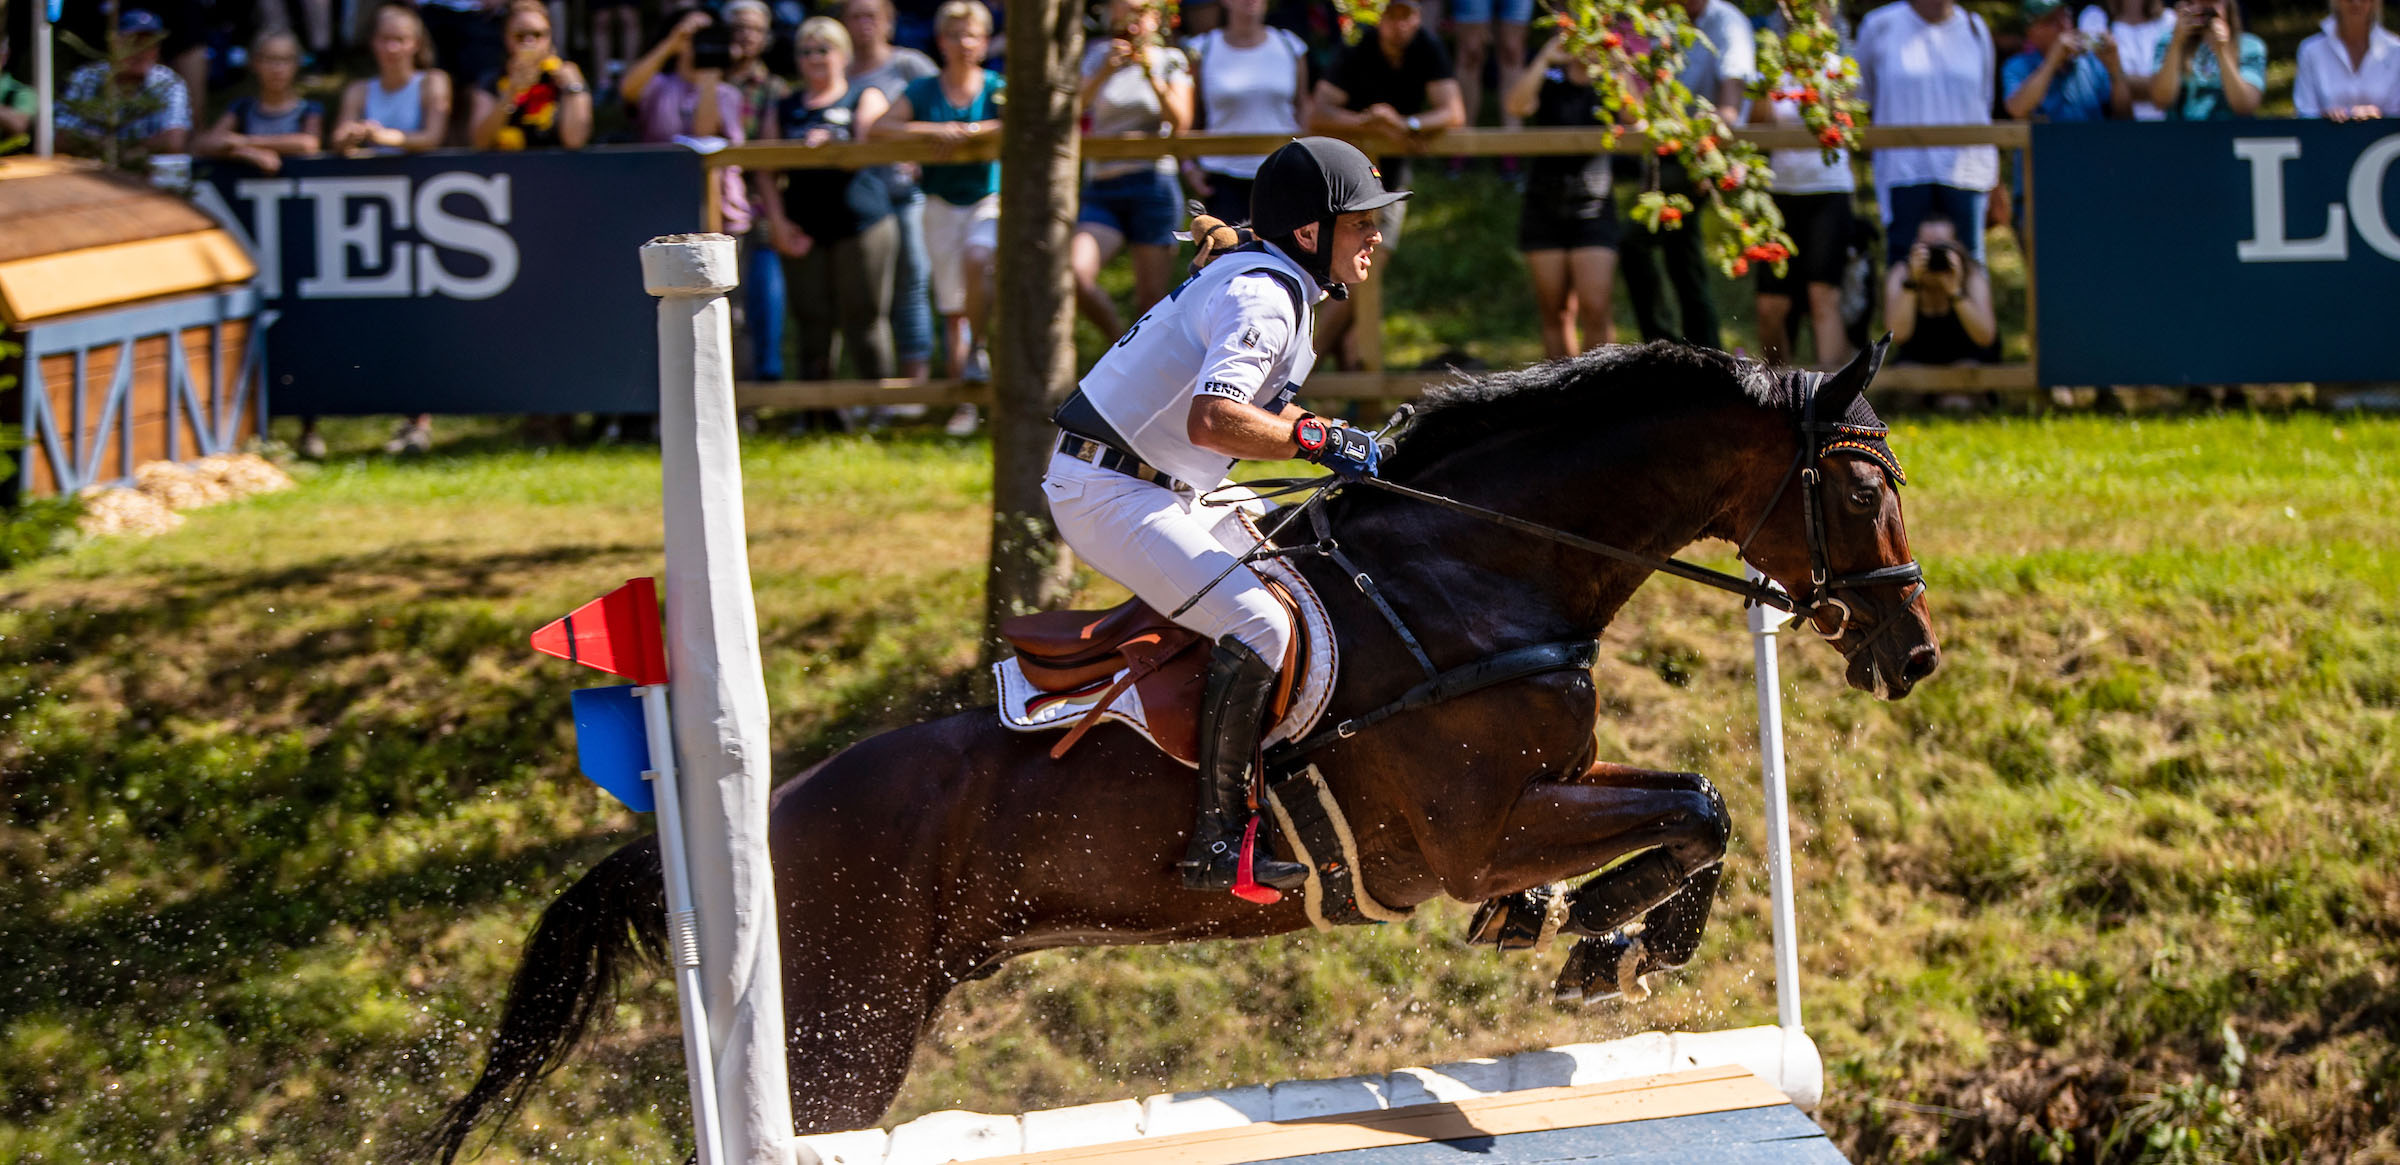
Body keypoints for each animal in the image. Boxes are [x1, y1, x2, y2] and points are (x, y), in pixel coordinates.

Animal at [427, 336, 1929, 1152]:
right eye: (1861, 489)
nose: (1911, 653)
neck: (1484, 566)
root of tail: (765, 818)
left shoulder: (1537, 804)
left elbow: (1696, 804)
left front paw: (1589, 930)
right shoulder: (1472, 832)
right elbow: (1701, 802)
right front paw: (1613, 941)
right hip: (843, 1022)